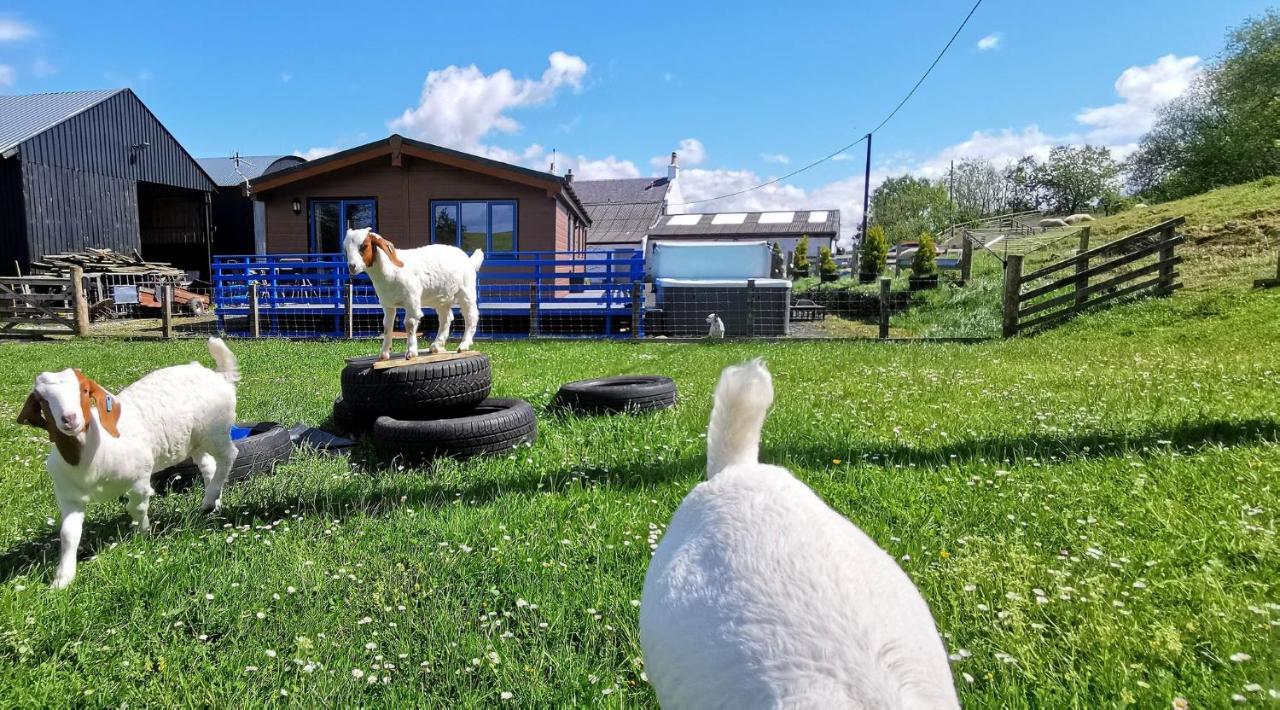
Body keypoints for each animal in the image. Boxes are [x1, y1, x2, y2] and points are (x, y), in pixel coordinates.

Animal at [17, 337, 240, 588]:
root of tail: (218, 374)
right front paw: (62, 580)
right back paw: (211, 502)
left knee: (228, 456)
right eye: (41, 400)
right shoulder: (69, 497)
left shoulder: (139, 479)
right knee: (209, 465)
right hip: (194, 440)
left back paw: (212, 496)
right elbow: (68, 534)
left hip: (215, 431)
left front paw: (142, 534)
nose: (70, 419)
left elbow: (136, 507)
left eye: (84, 390)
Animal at [345, 227, 483, 360]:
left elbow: (410, 323)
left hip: (466, 292)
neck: (391, 270)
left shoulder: (411, 300)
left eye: (364, 246)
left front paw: (411, 352)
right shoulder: (387, 305)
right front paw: (384, 354)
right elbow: (387, 326)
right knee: (446, 318)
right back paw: (436, 345)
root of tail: (469, 260)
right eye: (346, 249)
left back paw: (464, 345)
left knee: (471, 316)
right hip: (443, 299)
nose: (352, 266)